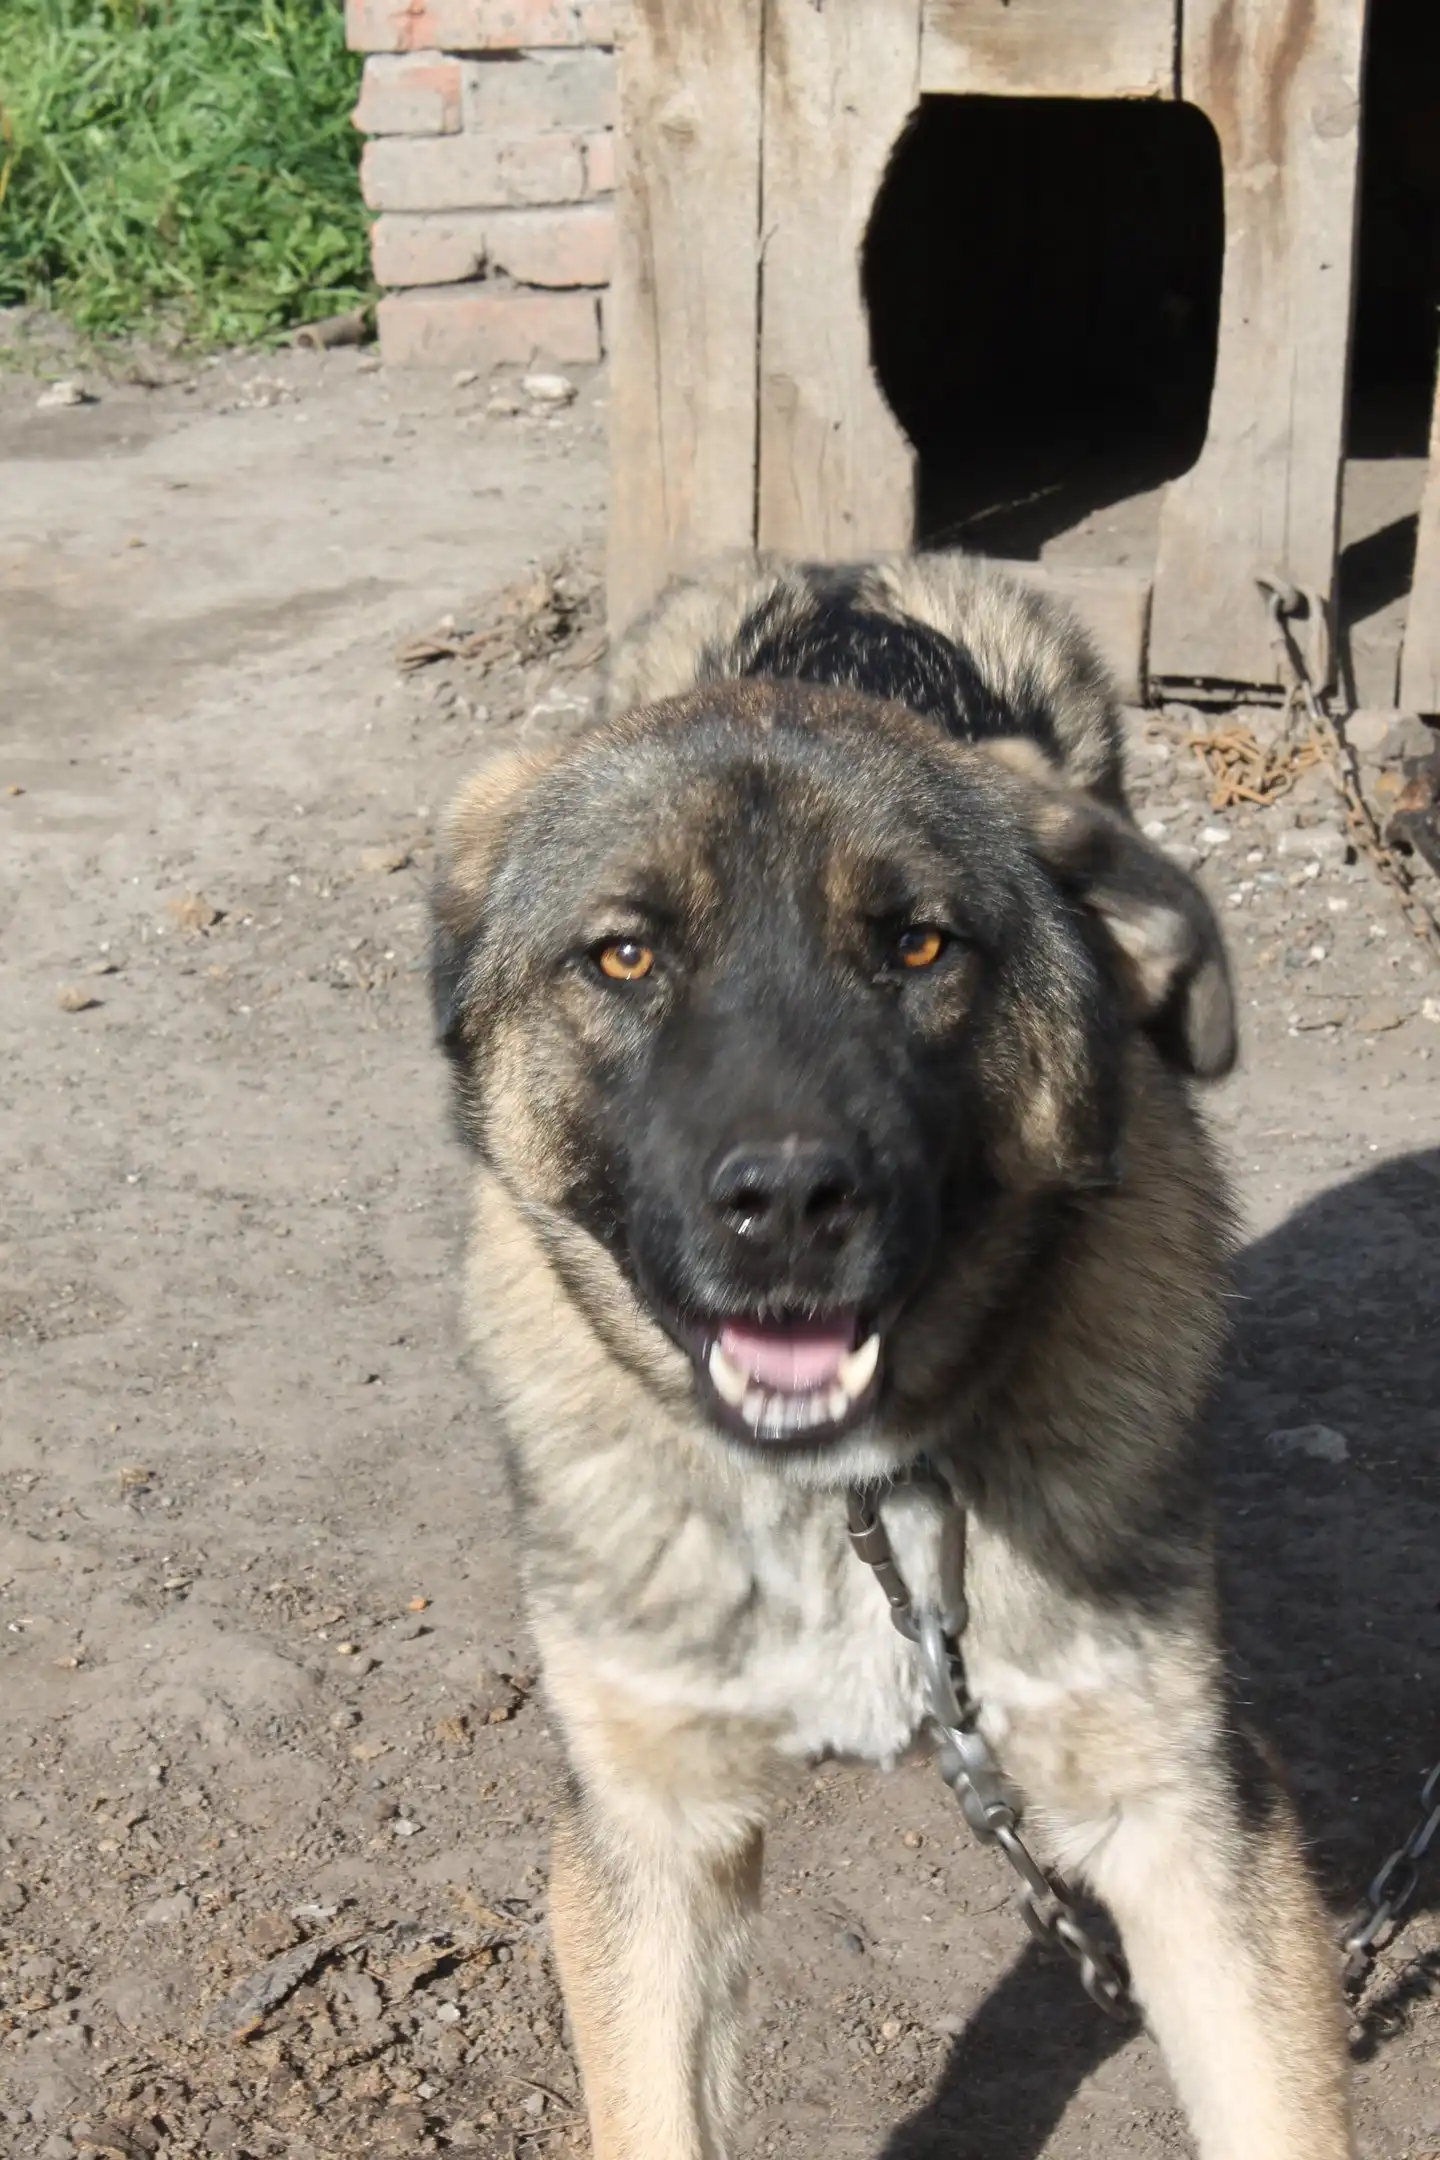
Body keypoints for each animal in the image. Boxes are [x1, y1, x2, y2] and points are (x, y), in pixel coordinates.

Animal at [430, 553, 1352, 2159]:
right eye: (624, 954)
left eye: (920, 944)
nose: (790, 1204)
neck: (847, 1503)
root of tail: (845, 578)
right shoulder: (652, 1832)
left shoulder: (1188, 1816)